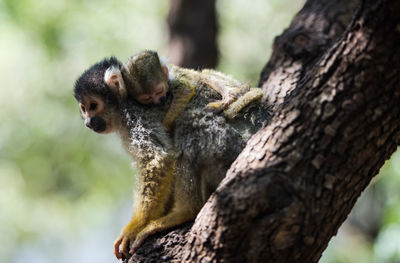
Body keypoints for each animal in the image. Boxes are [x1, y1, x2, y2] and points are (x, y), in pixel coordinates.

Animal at [104, 50, 264, 132]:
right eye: (147, 98)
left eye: (159, 91)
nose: (158, 100)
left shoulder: (174, 79)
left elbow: (185, 90)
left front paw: (166, 125)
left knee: (203, 74)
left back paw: (231, 96)